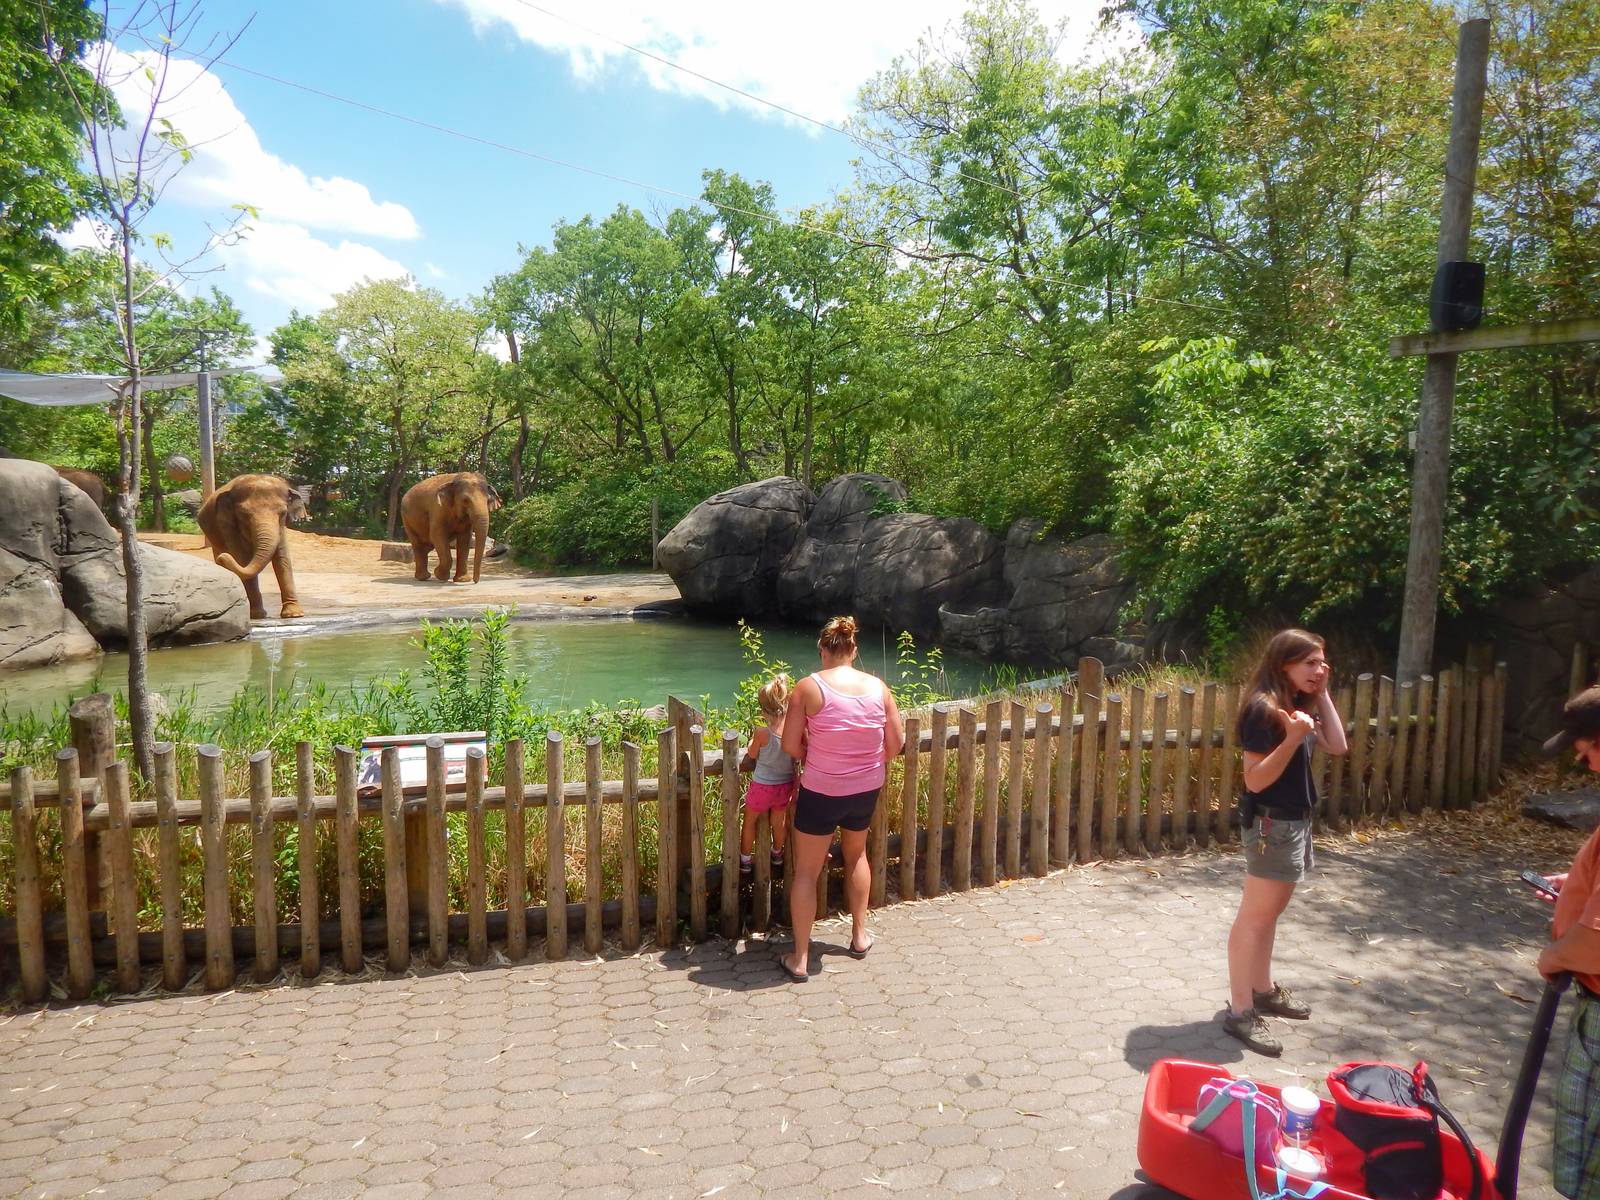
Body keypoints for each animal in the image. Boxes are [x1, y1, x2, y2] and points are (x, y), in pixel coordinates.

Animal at [196, 474, 310, 619]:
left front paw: (294, 614)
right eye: (244, 515)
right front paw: (257, 615)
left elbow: (282, 560)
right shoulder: (227, 525)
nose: (223, 558)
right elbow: (242, 560)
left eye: (283, 513)